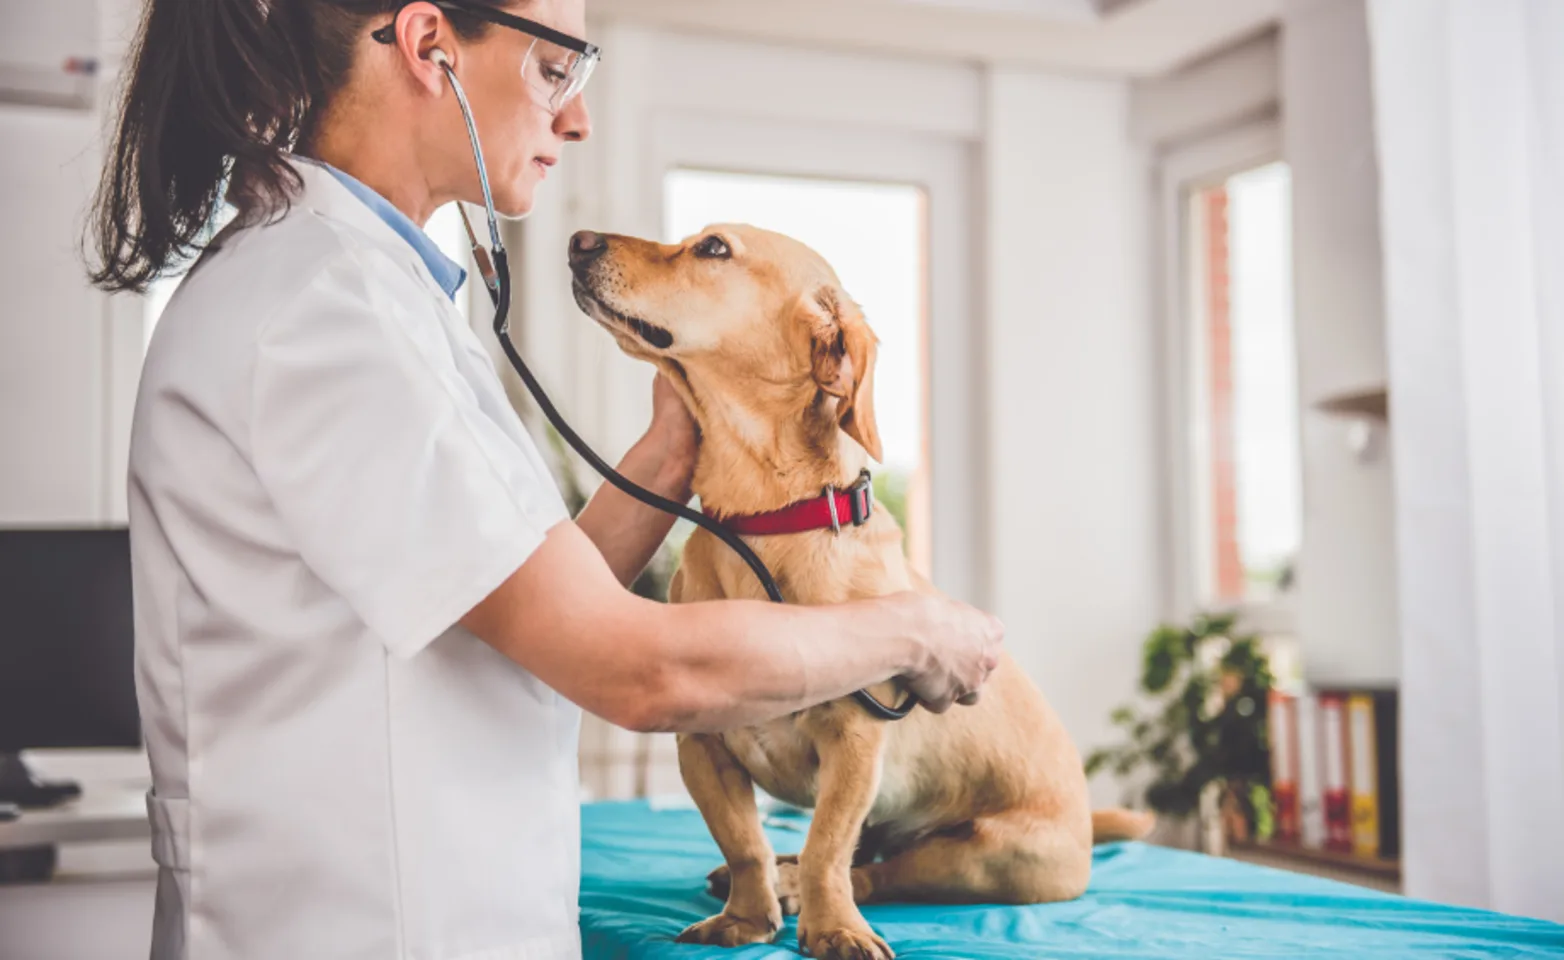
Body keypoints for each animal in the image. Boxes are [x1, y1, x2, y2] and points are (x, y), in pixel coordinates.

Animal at [569, 228, 1157, 960]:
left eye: (713, 247)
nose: (577, 241)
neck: (764, 523)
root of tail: (1084, 820)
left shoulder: (854, 744)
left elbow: (828, 848)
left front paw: (831, 928)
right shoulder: (701, 746)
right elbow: (743, 843)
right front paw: (747, 917)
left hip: (989, 858)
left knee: (877, 870)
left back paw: (806, 889)